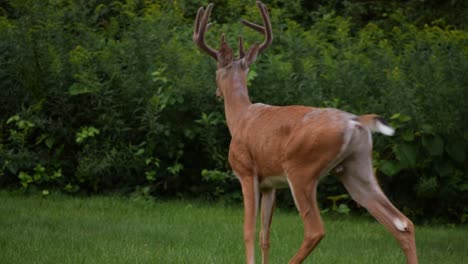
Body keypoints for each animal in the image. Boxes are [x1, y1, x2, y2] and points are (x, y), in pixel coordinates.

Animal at [192, 2, 418, 264]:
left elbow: (248, 230)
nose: (217, 93)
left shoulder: (246, 171)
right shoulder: (270, 184)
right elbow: (264, 235)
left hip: (302, 167)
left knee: (315, 230)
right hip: (356, 167)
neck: (239, 118)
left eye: (215, 72)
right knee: (402, 223)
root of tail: (355, 121)